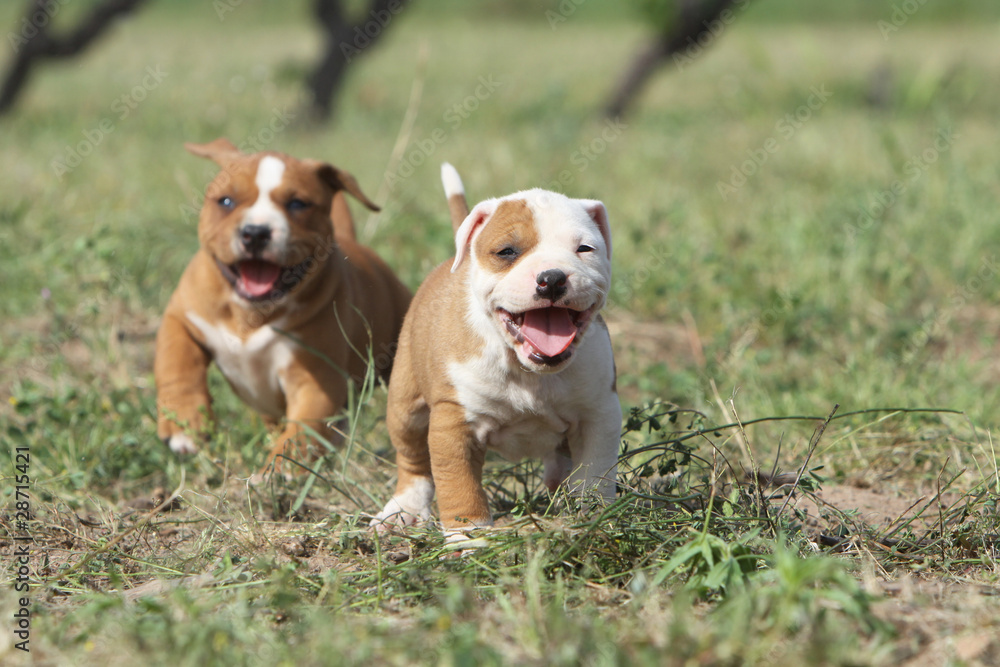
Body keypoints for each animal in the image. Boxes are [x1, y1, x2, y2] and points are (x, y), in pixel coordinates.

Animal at [155, 140, 410, 474]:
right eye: (226, 201)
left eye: (298, 204)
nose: (255, 233)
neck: (252, 312)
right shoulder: (182, 317)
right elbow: (177, 363)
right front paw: (184, 424)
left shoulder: (316, 379)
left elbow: (305, 426)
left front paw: (281, 470)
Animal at [372, 166, 620, 536]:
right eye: (506, 252)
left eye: (585, 249)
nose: (552, 278)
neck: (525, 368)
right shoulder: (454, 422)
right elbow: (458, 485)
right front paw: (468, 537)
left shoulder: (599, 412)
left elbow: (595, 472)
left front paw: (594, 516)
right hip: (406, 402)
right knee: (413, 458)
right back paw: (404, 510)